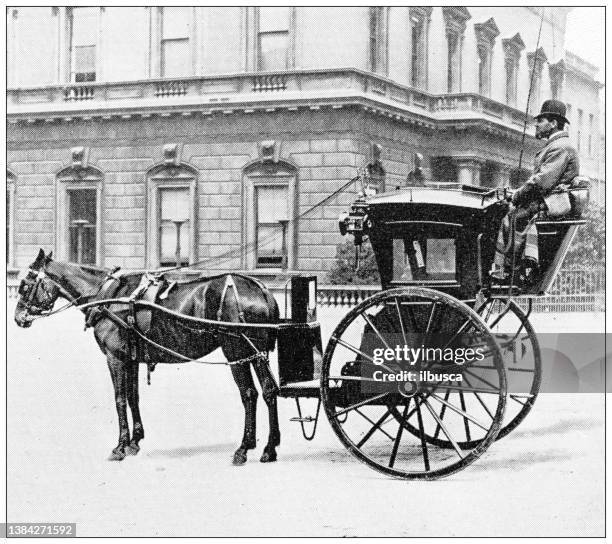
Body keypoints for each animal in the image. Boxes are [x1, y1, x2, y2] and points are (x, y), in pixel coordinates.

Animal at [14, 249, 280, 466]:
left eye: (25, 284)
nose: (18, 318)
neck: (109, 297)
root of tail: (260, 288)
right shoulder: (131, 359)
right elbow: (133, 397)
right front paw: (134, 441)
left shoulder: (115, 358)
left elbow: (120, 399)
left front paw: (120, 447)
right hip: (257, 354)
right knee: (269, 391)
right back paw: (269, 448)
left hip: (237, 351)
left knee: (249, 394)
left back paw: (243, 448)